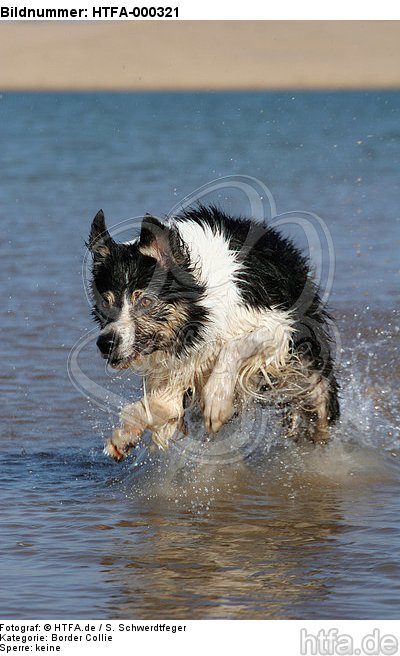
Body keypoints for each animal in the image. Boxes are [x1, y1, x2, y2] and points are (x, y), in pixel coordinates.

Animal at [89, 205, 340, 462]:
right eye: (106, 302)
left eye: (145, 301)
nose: (106, 343)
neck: (201, 312)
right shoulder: (177, 367)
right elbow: (164, 405)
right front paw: (124, 436)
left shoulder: (277, 325)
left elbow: (234, 345)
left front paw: (217, 401)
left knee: (318, 401)